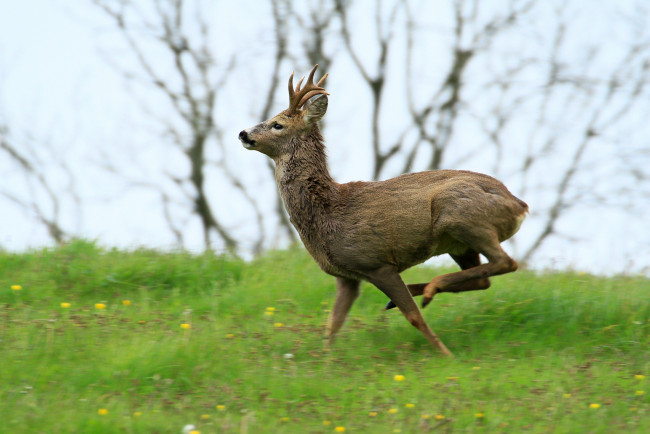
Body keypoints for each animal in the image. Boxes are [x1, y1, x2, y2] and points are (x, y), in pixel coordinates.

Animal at [238, 65, 528, 356]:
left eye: (277, 124)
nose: (243, 133)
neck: (327, 212)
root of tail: (519, 205)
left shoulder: (376, 263)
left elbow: (414, 317)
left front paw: (446, 355)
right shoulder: (346, 276)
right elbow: (332, 324)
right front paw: (324, 360)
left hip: (463, 216)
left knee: (505, 262)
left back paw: (429, 288)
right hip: (459, 243)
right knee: (484, 278)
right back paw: (417, 291)